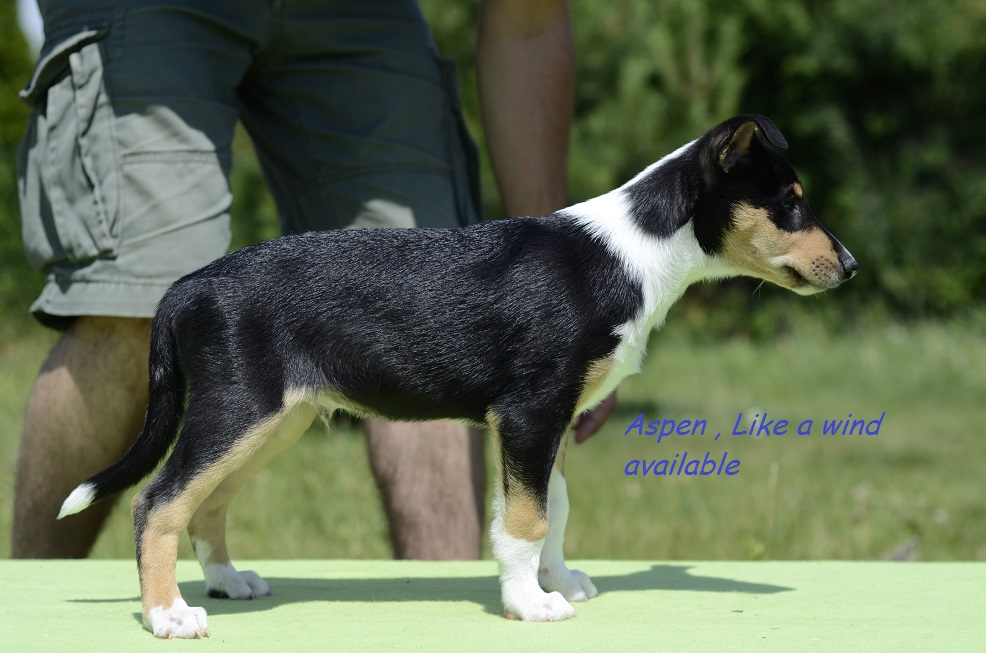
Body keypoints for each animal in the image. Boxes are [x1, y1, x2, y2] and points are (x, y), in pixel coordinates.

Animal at [58, 115, 856, 638]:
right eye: (790, 202)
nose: (849, 266)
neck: (637, 253)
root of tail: (186, 285)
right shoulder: (529, 410)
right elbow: (526, 519)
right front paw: (531, 604)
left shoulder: (552, 419)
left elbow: (554, 507)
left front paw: (558, 580)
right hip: (235, 408)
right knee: (158, 500)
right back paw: (168, 614)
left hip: (273, 420)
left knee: (209, 503)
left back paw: (228, 582)